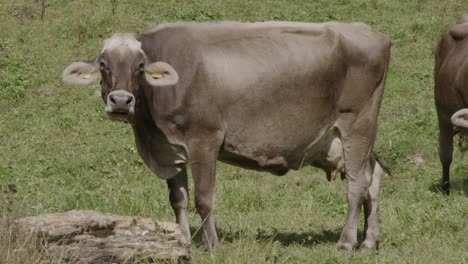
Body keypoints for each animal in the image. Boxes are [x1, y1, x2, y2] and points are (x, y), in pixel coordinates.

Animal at [62, 21, 392, 251]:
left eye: (140, 66)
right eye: (103, 64)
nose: (120, 100)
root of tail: (373, 33)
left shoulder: (204, 139)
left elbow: (204, 198)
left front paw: (211, 244)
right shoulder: (170, 148)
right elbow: (178, 199)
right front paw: (182, 241)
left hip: (357, 124)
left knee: (356, 184)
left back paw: (346, 242)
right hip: (345, 139)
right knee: (373, 176)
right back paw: (368, 241)